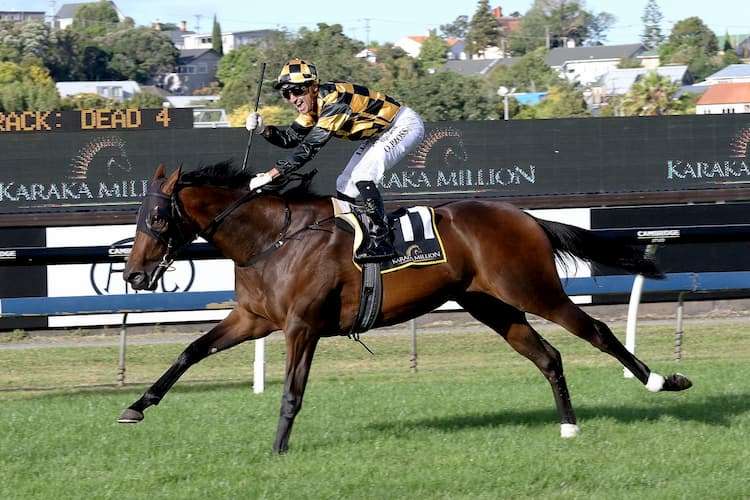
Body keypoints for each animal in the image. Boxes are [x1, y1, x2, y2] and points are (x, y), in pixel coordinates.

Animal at [118, 162, 692, 453]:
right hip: (491, 305)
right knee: (548, 356)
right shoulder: (253, 318)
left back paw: (662, 381)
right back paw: (569, 427)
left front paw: (278, 448)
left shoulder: (302, 326)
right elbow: (191, 351)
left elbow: (291, 392)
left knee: (596, 331)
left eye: (158, 217)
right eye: (141, 215)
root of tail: (526, 216)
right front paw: (135, 407)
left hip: (534, 290)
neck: (273, 238)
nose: (133, 274)